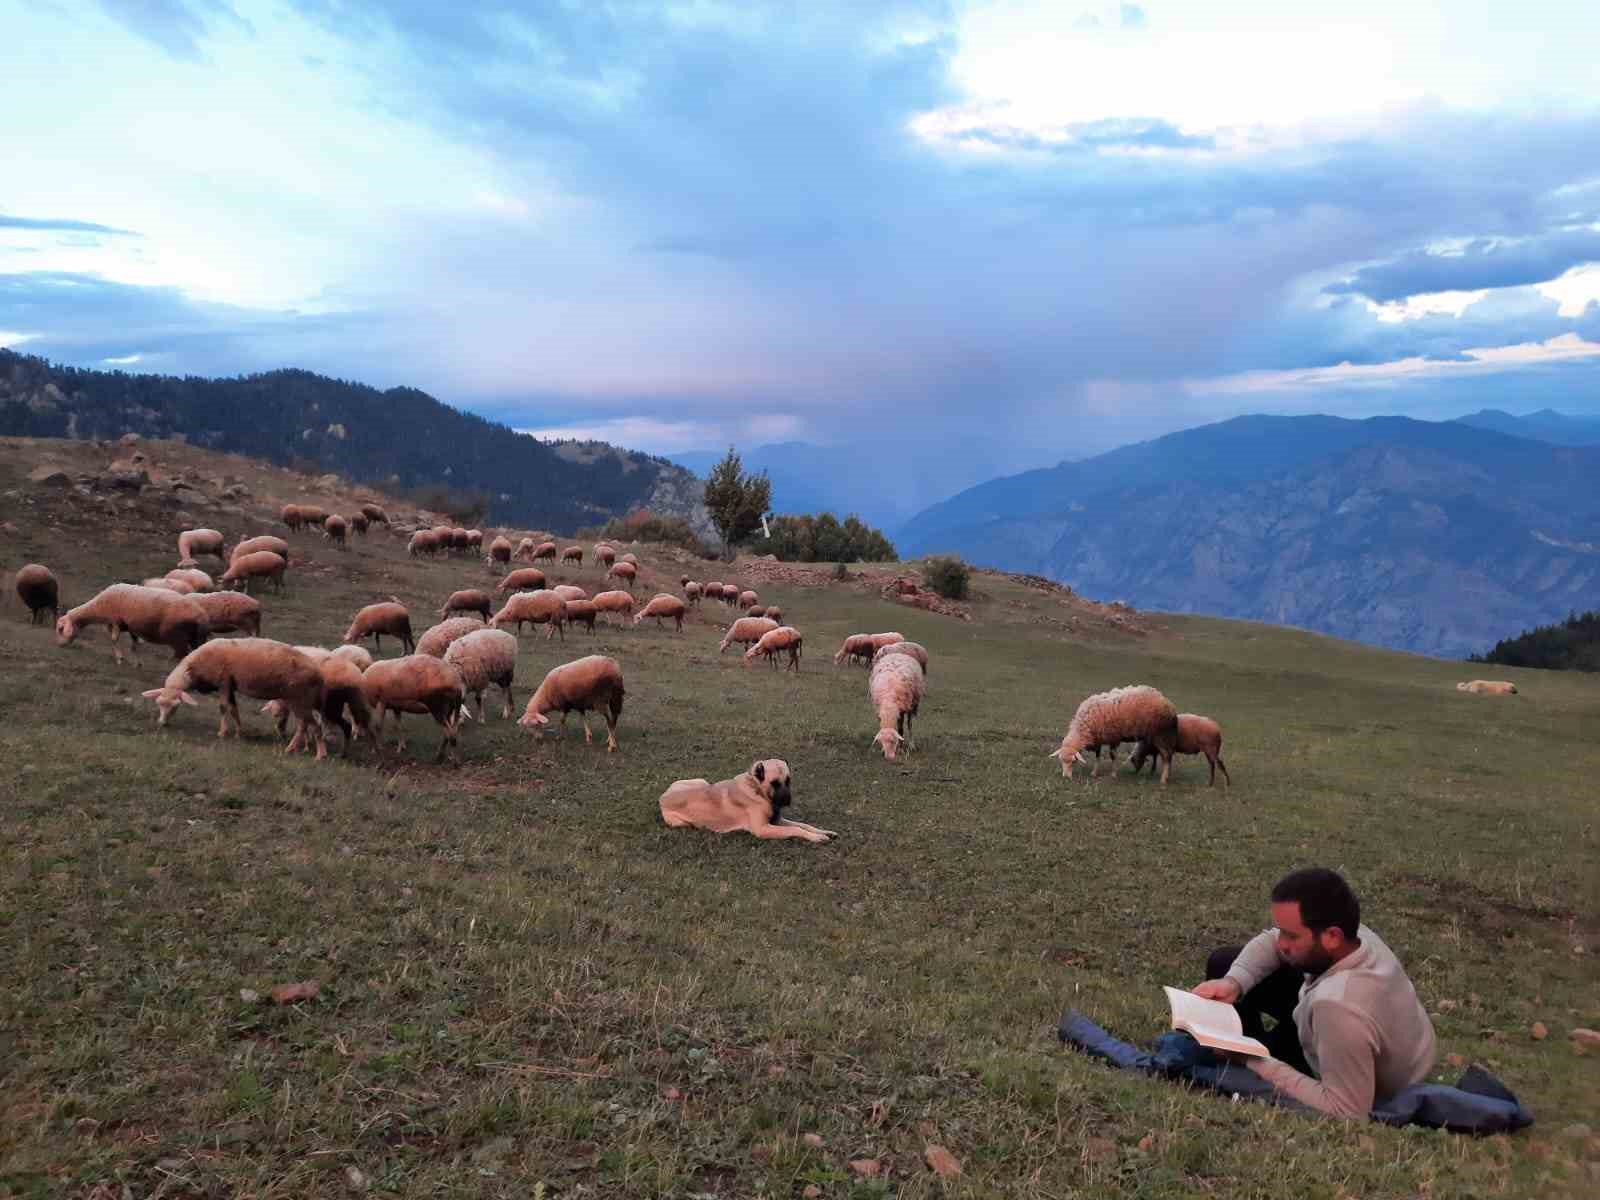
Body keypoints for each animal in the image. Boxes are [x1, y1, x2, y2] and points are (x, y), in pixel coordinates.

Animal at [57, 585, 212, 668]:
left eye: (60, 629)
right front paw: (137, 663)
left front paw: (119, 659)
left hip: (177, 636)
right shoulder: (131, 627)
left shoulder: (115, 621)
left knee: (181, 655)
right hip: (196, 638)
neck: (98, 608)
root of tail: (202, 616)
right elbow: (134, 646)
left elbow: (114, 640)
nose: (60, 645)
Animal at [144, 640, 328, 761]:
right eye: (158, 703)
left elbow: (223, 707)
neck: (196, 667)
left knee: (314, 725)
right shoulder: (231, 685)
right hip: (297, 700)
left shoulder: (224, 682)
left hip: (299, 698)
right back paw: (293, 748)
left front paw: (222, 732)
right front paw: (239, 733)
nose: (162, 723)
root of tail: (319, 674)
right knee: (303, 724)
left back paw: (319, 755)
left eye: (176, 706)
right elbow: (234, 709)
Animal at [659, 761, 838, 844]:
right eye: (774, 783)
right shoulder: (763, 829)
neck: (757, 789)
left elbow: (804, 825)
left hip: (702, 781)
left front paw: (824, 832)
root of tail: (662, 797)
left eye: (788, 781)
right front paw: (817, 837)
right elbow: (796, 829)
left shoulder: (777, 820)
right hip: (682, 823)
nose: (787, 800)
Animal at [1043, 691, 1184, 784]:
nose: (1066, 777)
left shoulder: (1114, 738)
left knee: (1166, 757)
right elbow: (1098, 756)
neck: (1083, 727)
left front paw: (1113, 774)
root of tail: (1169, 703)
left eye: (1073, 761)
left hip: (1162, 736)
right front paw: (1094, 773)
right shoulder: (1098, 739)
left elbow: (1113, 756)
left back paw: (1163, 780)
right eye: (1061, 761)